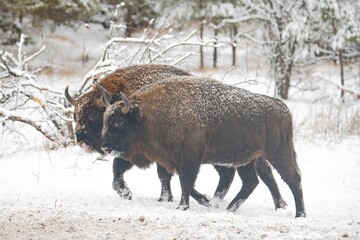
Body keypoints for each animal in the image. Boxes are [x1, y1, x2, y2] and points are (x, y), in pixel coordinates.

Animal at [101, 75, 306, 218]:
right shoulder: (168, 160)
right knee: (251, 182)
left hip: (279, 153)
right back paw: (228, 209)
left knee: (293, 179)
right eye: (105, 119)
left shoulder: (190, 158)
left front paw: (182, 207)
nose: (104, 147)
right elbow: (184, 182)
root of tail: (282, 108)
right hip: (246, 160)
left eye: (119, 121)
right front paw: (204, 201)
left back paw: (300, 215)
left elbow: (186, 181)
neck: (146, 115)